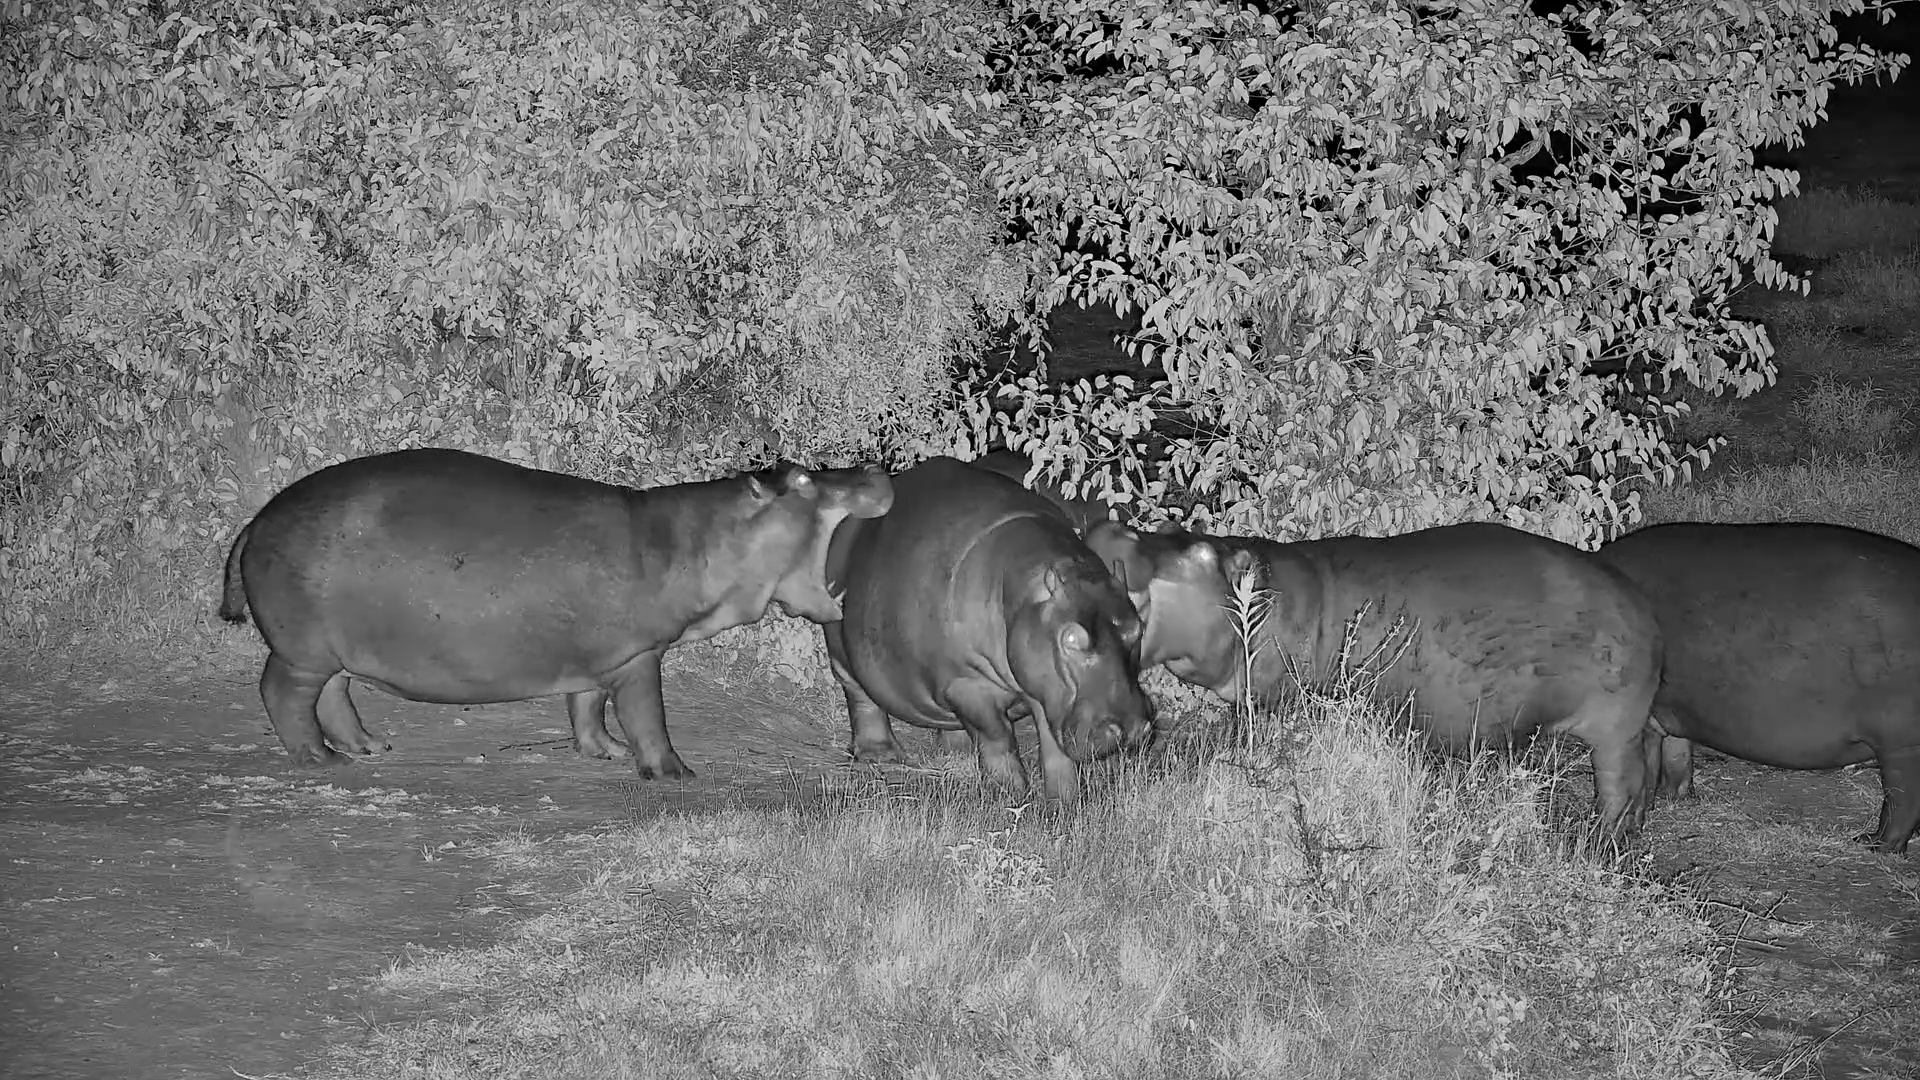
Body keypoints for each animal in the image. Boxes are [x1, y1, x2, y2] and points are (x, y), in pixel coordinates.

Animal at [218, 447, 893, 778]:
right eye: (801, 481)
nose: (875, 465)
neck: (706, 537)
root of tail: (256, 521)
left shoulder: (598, 658)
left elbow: (586, 707)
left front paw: (606, 753)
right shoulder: (639, 655)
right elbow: (648, 717)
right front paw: (676, 772)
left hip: (332, 652)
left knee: (333, 696)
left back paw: (369, 746)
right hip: (301, 651)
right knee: (282, 694)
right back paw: (319, 760)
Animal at [1085, 521, 1664, 835]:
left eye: (1201, 552)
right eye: (1167, 531)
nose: (1115, 529)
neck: (1271, 598)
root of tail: (1642, 602)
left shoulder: (1281, 702)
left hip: (1615, 730)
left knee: (1622, 787)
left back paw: (1602, 841)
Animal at [1596, 521, 1920, 855]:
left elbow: (1634, 776)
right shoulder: (1668, 715)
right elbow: (1673, 758)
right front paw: (1676, 798)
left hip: (1900, 745)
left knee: (1902, 801)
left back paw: (1872, 843)